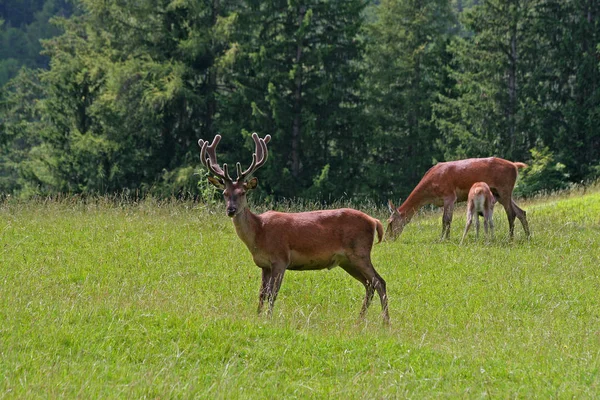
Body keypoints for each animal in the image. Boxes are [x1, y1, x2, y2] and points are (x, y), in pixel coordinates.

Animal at [199, 133, 392, 324]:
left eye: (242, 193)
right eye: (224, 193)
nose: (231, 210)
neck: (259, 233)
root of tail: (374, 221)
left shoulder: (280, 259)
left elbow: (273, 294)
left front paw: (268, 319)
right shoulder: (264, 265)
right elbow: (261, 294)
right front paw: (257, 316)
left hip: (360, 252)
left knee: (379, 281)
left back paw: (385, 321)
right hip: (347, 261)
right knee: (369, 284)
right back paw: (360, 320)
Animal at [384, 157, 528, 241]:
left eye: (390, 222)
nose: (386, 239)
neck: (430, 192)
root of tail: (515, 166)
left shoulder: (449, 196)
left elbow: (446, 220)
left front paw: (444, 239)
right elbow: (447, 220)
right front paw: (445, 238)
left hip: (504, 188)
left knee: (511, 213)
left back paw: (510, 239)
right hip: (499, 193)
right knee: (521, 211)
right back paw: (528, 236)